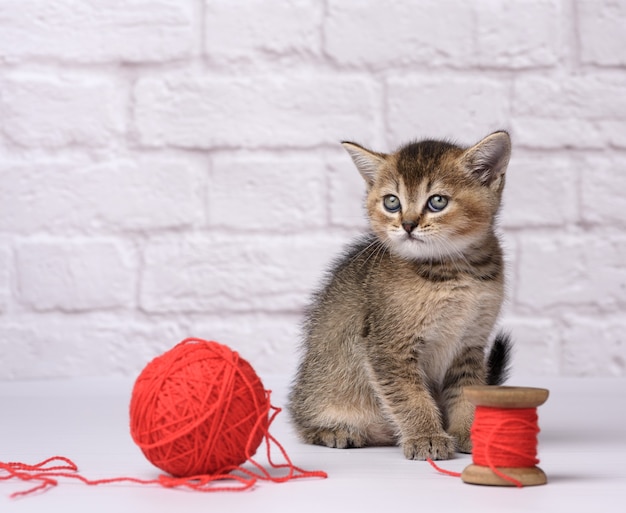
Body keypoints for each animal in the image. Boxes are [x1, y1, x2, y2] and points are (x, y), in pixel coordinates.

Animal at [288, 131, 512, 460]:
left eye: (438, 201)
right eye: (391, 202)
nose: (407, 224)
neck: (454, 273)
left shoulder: (470, 344)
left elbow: (467, 390)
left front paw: (470, 432)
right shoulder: (388, 346)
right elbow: (410, 397)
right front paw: (427, 437)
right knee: (304, 422)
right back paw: (335, 431)